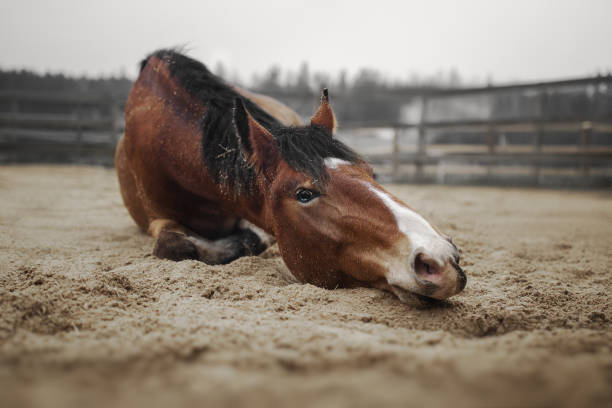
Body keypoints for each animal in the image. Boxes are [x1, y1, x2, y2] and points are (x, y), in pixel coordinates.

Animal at [117, 49, 466, 302]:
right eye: (304, 194)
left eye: (372, 171)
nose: (442, 258)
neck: (169, 141)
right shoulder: (156, 217)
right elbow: (174, 245)